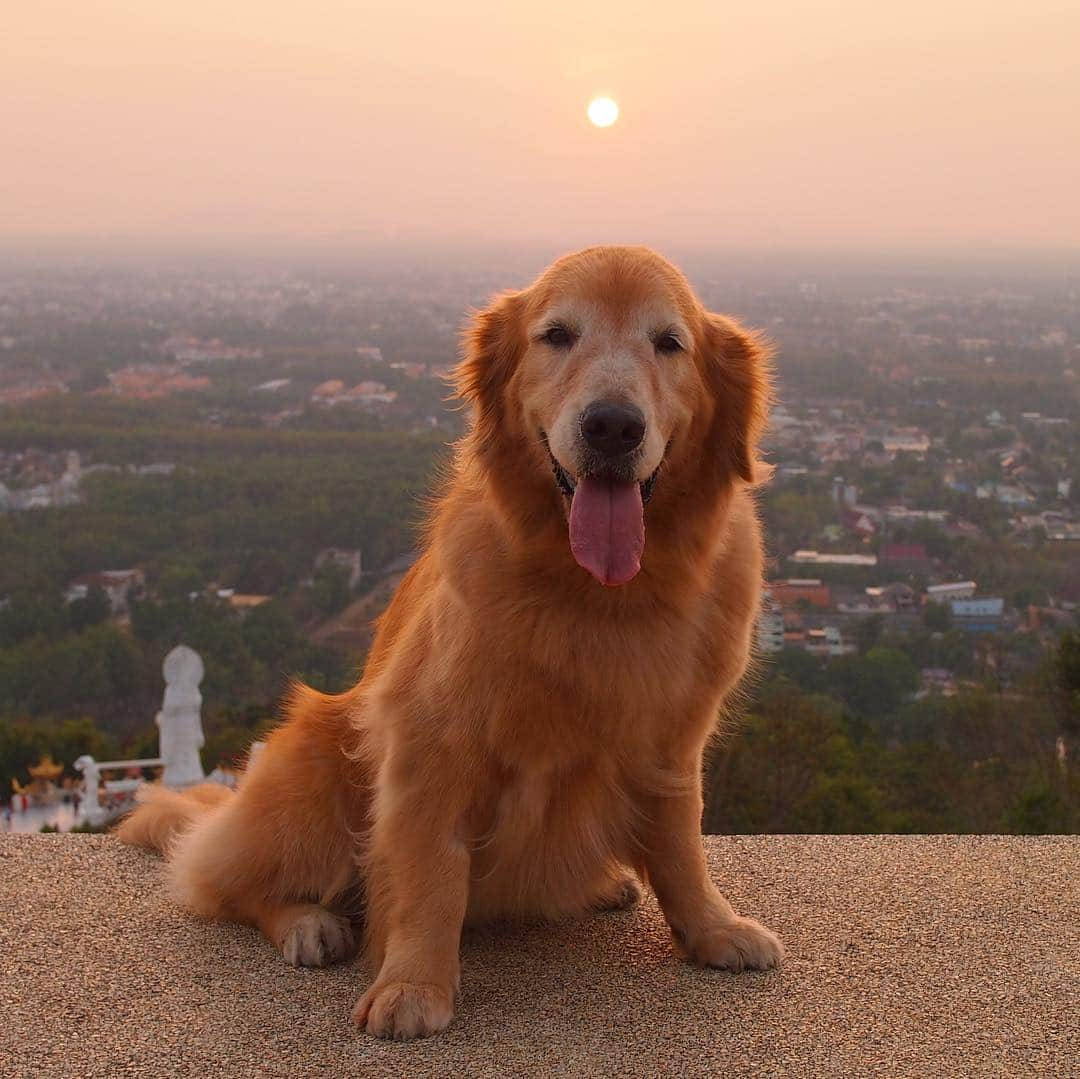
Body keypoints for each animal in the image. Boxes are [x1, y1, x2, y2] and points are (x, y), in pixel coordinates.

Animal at [118, 243, 781, 1036]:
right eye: (558, 335)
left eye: (669, 342)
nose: (613, 426)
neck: (598, 595)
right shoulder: (430, 741)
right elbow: (430, 877)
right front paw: (415, 984)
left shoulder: (672, 745)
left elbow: (682, 846)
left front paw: (713, 929)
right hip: (312, 760)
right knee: (225, 881)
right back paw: (308, 923)